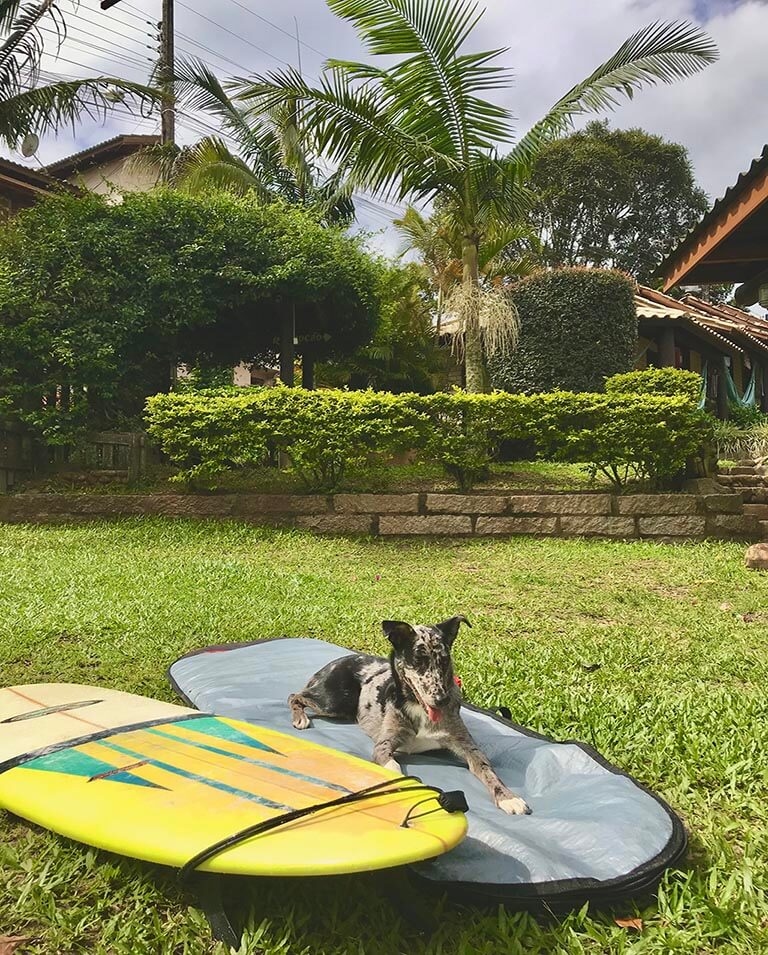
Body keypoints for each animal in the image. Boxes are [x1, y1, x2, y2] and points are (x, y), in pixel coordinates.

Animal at [284, 620, 532, 816]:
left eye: (444, 660)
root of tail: (336, 661)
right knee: (295, 695)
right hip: (335, 701)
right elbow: (393, 766)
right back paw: (300, 718)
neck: (419, 708)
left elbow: (488, 771)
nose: (442, 699)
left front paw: (509, 797)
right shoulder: (383, 745)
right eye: (418, 660)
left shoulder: (469, 748)